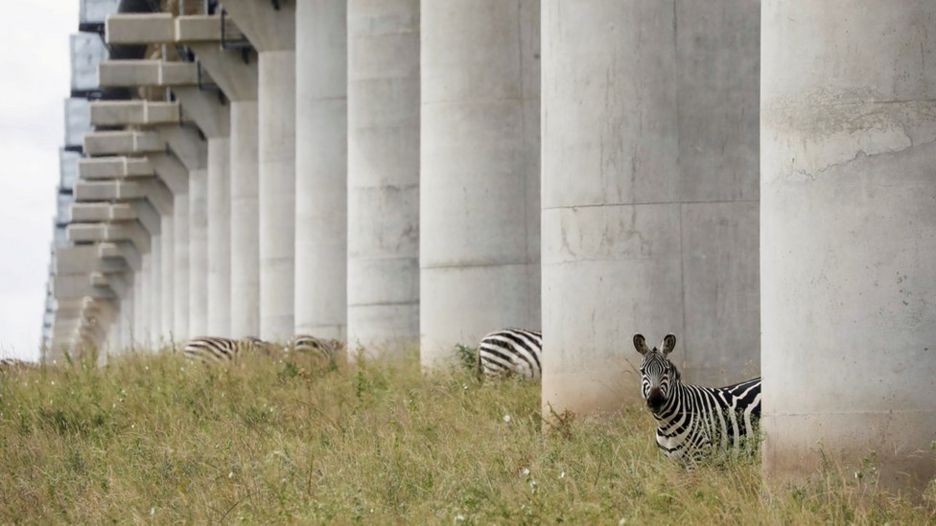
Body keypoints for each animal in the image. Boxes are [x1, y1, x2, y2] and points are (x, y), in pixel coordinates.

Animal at [634, 333, 761, 463]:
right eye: (642, 371)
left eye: (666, 370)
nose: (656, 401)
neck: (666, 426)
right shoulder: (673, 461)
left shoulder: (699, 457)